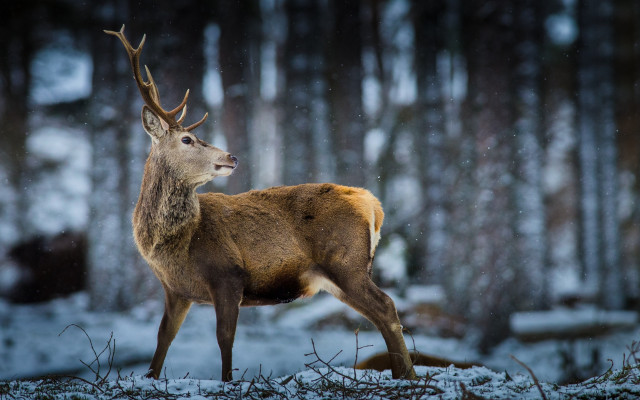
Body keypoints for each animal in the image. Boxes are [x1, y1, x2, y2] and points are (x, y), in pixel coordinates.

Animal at [105, 25, 417, 382]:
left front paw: (228, 380)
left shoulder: (227, 273)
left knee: (386, 306)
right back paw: (403, 374)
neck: (176, 244)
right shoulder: (176, 290)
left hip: (346, 262)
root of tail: (373, 204)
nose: (232, 157)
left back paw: (408, 375)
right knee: (379, 314)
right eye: (187, 139)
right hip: (340, 274)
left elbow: (225, 337)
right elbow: (163, 338)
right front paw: (151, 377)